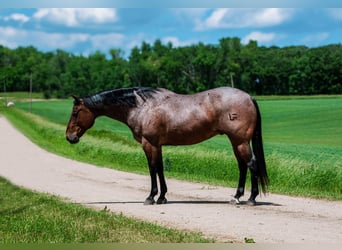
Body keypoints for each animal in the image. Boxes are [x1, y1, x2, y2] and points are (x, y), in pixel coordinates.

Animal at [65, 87, 268, 206]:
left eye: (75, 112)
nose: (69, 137)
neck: (141, 106)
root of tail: (249, 97)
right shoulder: (158, 145)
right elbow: (160, 168)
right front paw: (162, 197)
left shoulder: (149, 143)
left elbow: (152, 168)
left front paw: (151, 197)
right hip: (236, 142)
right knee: (243, 166)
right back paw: (236, 196)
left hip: (240, 141)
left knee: (251, 164)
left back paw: (251, 199)